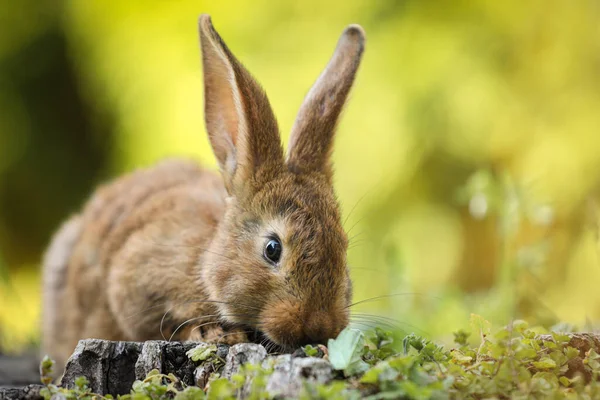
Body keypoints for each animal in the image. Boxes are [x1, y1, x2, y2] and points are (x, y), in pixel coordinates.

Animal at [42, 14, 366, 372]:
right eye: (272, 249)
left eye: (343, 246)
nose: (319, 327)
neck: (207, 260)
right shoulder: (132, 281)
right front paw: (217, 334)